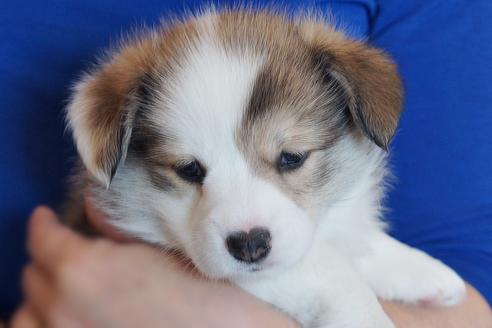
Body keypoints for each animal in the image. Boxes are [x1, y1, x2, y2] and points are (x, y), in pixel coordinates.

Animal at [64, 8, 466, 328]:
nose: (249, 246)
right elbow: (330, 270)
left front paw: (418, 269)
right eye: (189, 169)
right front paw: (367, 315)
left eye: (292, 157)